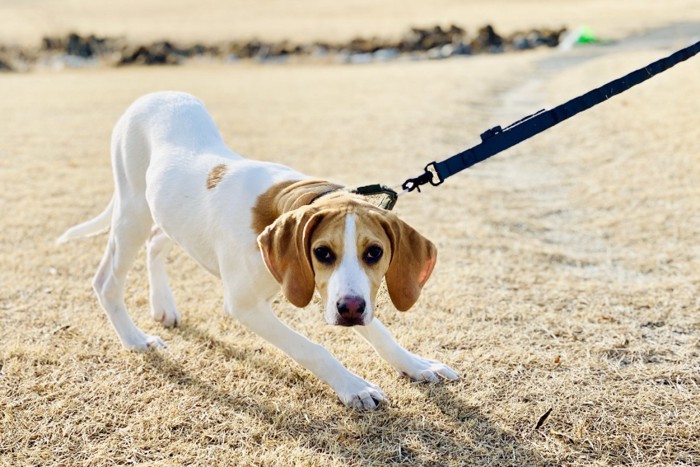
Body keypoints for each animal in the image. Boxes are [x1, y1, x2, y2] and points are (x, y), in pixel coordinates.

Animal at [60, 91, 460, 410]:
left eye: (374, 253)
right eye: (323, 253)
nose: (350, 310)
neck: (288, 200)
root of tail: (150, 96)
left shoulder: (332, 290)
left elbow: (380, 332)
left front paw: (416, 365)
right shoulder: (246, 306)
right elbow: (312, 348)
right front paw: (354, 387)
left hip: (167, 215)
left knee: (157, 241)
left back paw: (163, 306)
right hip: (133, 211)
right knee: (107, 280)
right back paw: (136, 339)